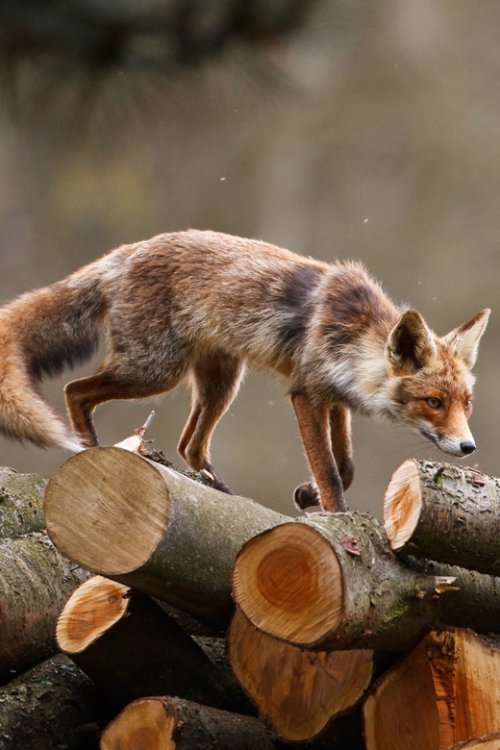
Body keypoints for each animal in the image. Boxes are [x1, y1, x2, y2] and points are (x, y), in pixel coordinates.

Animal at [0, 232, 490, 516]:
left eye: (467, 404)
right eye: (433, 402)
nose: (469, 447)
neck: (353, 337)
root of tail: (127, 250)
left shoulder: (334, 398)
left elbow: (346, 466)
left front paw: (308, 495)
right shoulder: (306, 394)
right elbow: (331, 472)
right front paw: (336, 516)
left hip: (221, 382)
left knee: (190, 445)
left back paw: (220, 493)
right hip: (154, 371)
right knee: (75, 390)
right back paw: (91, 450)